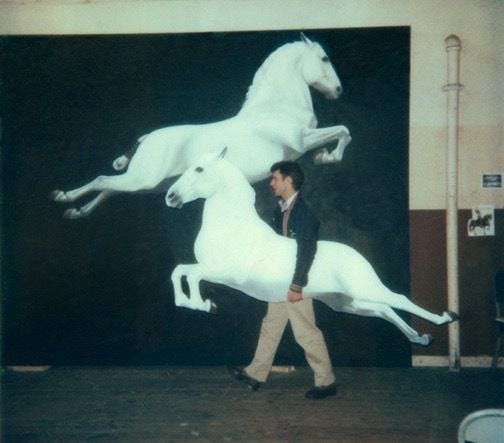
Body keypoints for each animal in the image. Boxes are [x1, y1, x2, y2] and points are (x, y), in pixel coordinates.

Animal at [51, 34, 350, 220]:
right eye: (324, 59)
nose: (337, 91)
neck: (277, 105)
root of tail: (147, 138)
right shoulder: (302, 139)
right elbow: (344, 131)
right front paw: (326, 157)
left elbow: (341, 132)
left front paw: (324, 157)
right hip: (144, 179)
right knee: (103, 181)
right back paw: (63, 197)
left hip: (150, 185)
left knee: (110, 189)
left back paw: (77, 212)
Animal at [166, 151, 460, 348]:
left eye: (199, 169)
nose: (171, 197)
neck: (231, 226)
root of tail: (357, 257)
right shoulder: (209, 267)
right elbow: (179, 271)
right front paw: (192, 303)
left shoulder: (228, 273)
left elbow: (192, 275)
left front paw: (203, 304)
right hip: (346, 302)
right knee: (383, 310)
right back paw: (420, 338)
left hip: (363, 289)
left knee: (398, 299)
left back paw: (443, 319)